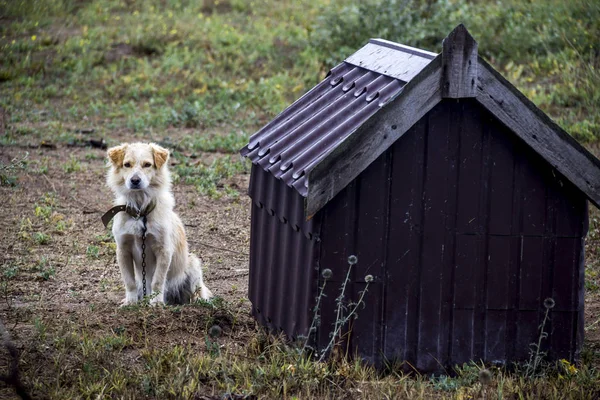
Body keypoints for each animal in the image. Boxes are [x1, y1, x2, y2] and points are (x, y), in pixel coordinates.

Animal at [106, 142, 213, 304]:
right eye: (127, 164)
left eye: (147, 164)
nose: (135, 180)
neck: (140, 211)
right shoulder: (123, 250)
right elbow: (129, 281)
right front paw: (130, 302)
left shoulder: (164, 250)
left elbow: (157, 281)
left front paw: (156, 302)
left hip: (193, 264)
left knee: (196, 293)